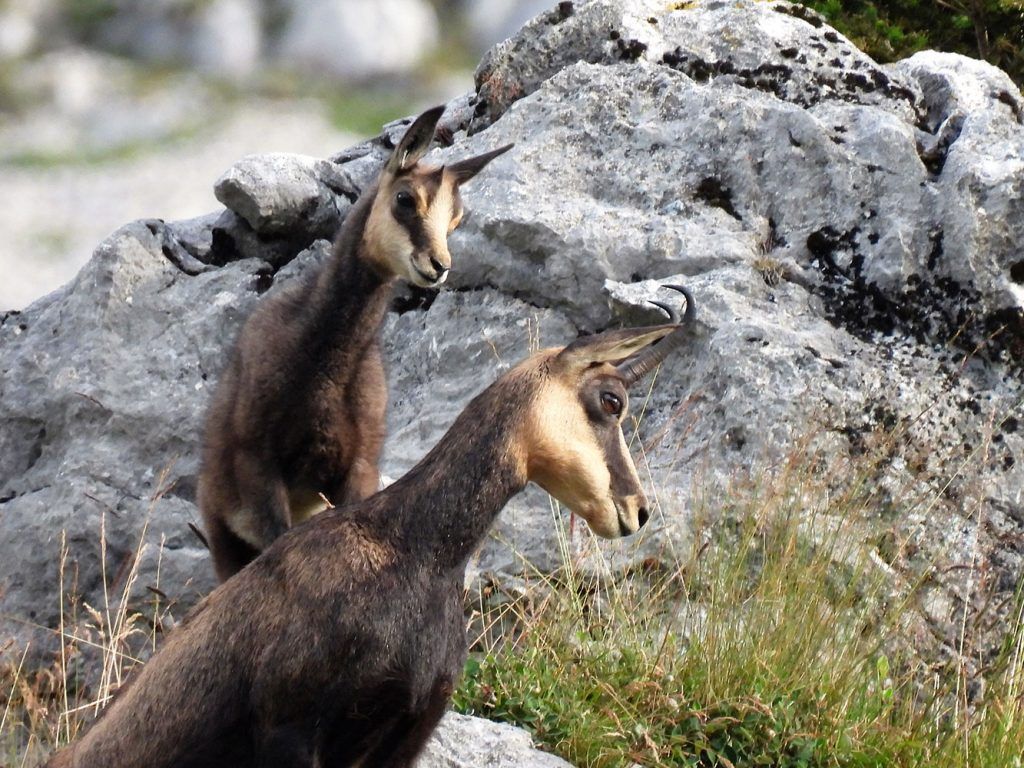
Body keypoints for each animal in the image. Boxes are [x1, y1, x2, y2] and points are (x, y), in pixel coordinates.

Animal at [198, 105, 513, 581]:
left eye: (456, 217)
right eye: (405, 199)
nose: (438, 265)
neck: (325, 361)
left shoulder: (356, 468)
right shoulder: (258, 468)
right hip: (225, 531)